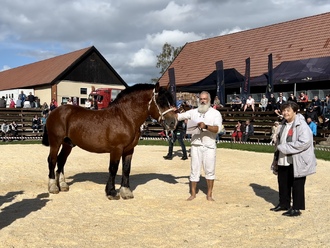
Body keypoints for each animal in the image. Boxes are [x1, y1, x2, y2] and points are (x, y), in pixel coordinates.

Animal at [42, 83, 179, 200]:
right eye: (160, 102)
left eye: (171, 100)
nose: (173, 122)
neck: (126, 117)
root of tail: (54, 112)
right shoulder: (116, 149)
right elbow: (113, 168)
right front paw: (111, 192)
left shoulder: (129, 150)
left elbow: (126, 169)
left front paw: (126, 191)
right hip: (55, 142)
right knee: (52, 160)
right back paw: (53, 187)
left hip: (67, 144)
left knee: (61, 160)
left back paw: (63, 185)